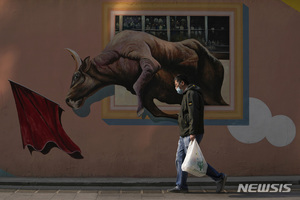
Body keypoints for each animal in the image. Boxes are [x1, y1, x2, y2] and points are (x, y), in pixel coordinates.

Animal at [65, 30, 225, 119]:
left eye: (76, 76)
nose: (67, 100)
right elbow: (158, 112)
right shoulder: (149, 97)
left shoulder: (140, 52)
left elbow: (143, 80)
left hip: (214, 96)